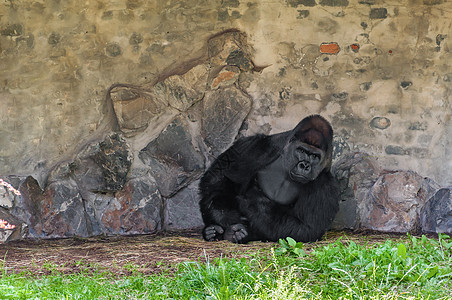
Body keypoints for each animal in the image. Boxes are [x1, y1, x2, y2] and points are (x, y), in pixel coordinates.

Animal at [198, 115, 340, 244]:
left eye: (315, 156)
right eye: (301, 151)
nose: (304, 165)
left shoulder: (326, 185)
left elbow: (306, 228)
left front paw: (251, 203)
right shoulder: (260, 145)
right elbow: (221, 176)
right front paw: (225, 217)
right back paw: (213, 231)